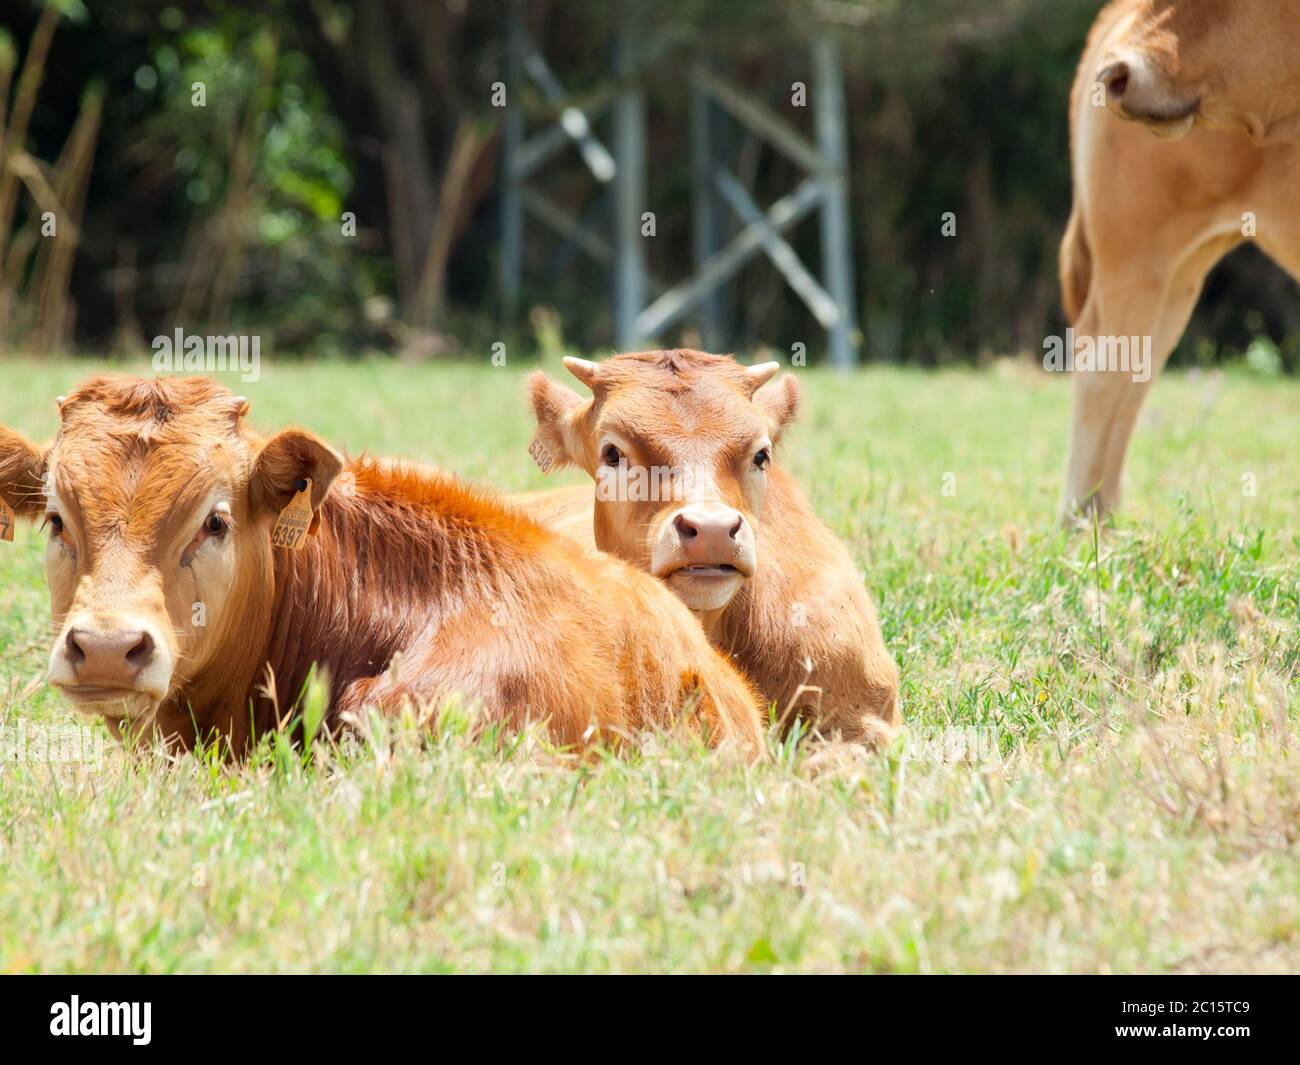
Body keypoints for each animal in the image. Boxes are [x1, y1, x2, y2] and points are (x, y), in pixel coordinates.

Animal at [1061, 0, 1300, 514]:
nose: (1118, 71)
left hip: (1177, 273)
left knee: (1137, 369)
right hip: (1135, 251)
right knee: (1102, 370)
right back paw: (1083, 523)